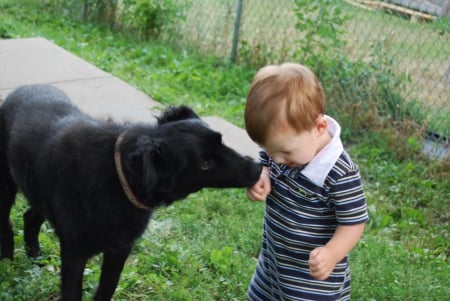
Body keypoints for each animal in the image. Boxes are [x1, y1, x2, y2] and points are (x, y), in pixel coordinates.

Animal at [0, 84, 260, 300]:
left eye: (221, 140)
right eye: (205, 164)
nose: (258, 168)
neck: (119, 179)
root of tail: (20, 90)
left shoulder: (119, 249)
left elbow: (106, 290)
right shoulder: (75, 253)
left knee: (30, 217)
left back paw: (35, 257)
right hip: (7, 189)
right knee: (8, 225)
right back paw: (7, 264)